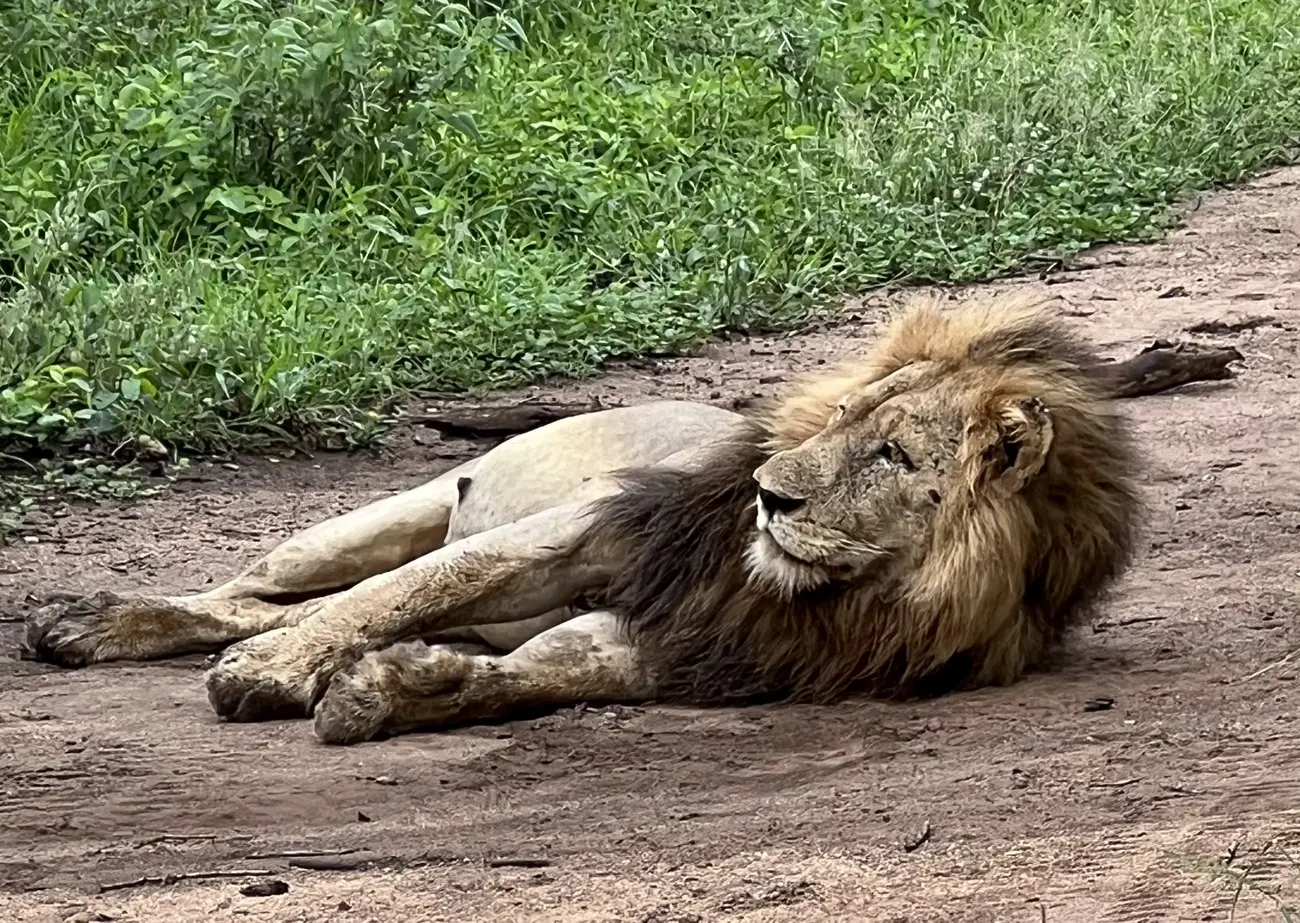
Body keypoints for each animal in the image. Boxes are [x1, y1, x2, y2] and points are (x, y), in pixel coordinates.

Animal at [23, 294, 1143, 746]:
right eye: (843, 419)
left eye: (892, 455)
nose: (768, 492)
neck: (843, 595)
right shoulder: (596, 533)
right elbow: (411, 589)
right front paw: (274, 677)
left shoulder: (703, 639)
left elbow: (545, 673)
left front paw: (395, 688)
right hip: (373, 517)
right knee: (265, 588)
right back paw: (90, 621)